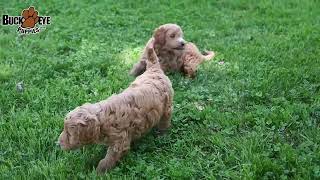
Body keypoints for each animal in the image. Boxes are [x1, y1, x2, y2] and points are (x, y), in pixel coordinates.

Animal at [57, 41, 172, 174]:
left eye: (69, 133)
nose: (58, 143)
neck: (102, 118)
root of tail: (154, 69)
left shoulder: (119, 141)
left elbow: (108, 159)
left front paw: (98, 172)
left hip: (167, 106)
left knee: (165, 119)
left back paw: (162, 133)